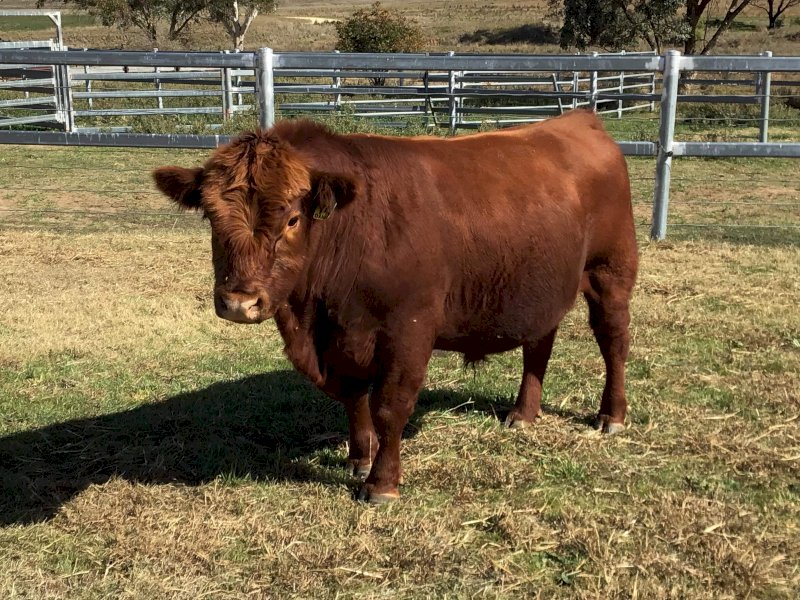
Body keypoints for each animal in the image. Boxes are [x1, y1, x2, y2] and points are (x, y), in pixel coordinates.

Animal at [153, 109, 638, 504]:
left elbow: (390, 405)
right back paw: (522, 414)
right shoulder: (339, 341)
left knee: (613, 342)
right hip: (540, 287)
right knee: (539, 344)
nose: (239, 302)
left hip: (610, 273)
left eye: (292, 218)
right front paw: (359, 458)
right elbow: (354, 398)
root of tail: (579, 120)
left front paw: (382, 483)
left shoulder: (408, 330)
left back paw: (611, 416)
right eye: (210, 218)